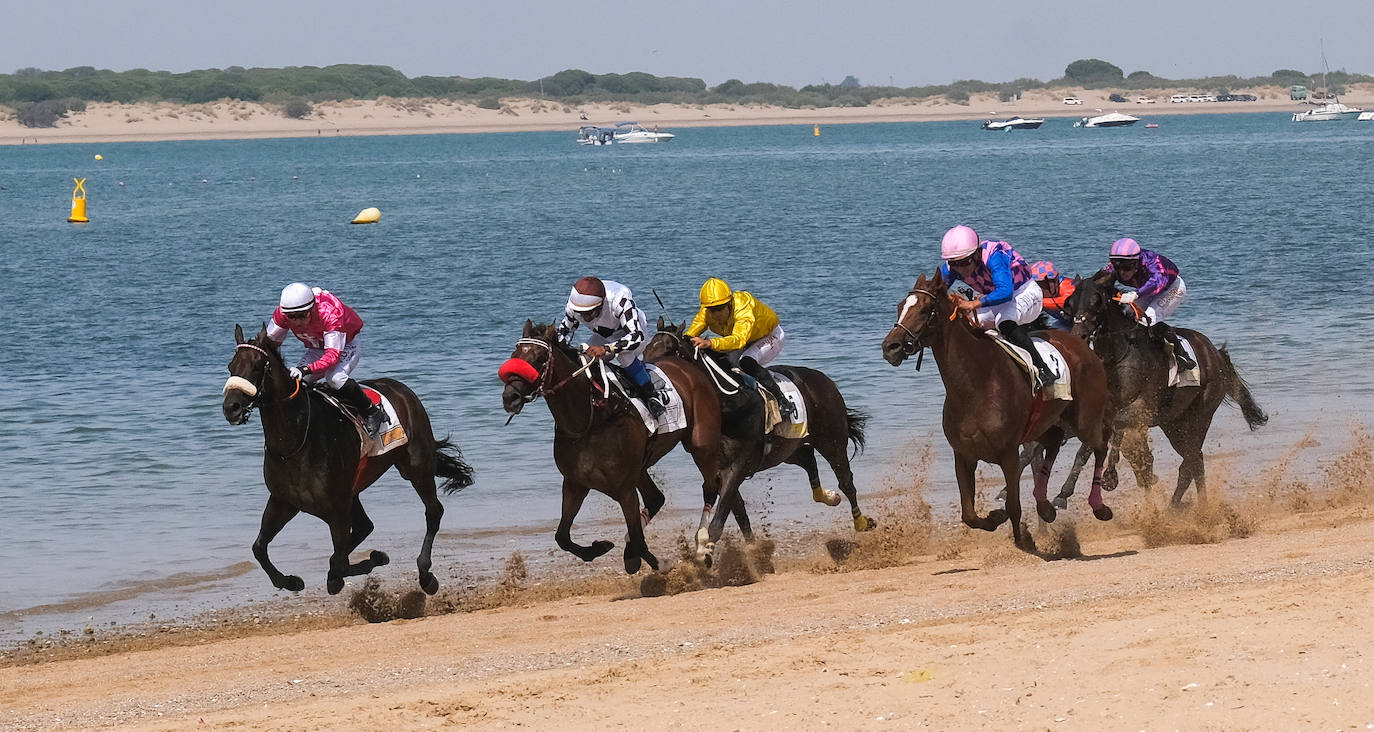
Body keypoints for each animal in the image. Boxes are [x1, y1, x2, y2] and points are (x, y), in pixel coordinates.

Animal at [220, 324, 473, 595]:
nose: (231, 408)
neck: (297, 441)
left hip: (416, 467)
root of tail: (402, 388)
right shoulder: (283, 501)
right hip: (355, 489)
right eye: (231, 366)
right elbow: (259, 548)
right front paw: (291, 581)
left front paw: (373, 560)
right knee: (365, 526)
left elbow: (339, 565)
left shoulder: (337, 509)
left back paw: (426, 575)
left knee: (433, 512)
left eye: (258, 366)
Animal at [499, 321, 729, 574]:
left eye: (540, 358)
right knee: (656, 498)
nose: (510, 396)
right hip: (641, 466)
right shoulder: (575, 484)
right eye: (515, 355)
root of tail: (688, 367)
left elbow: (638, 540)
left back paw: (702, 548)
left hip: (700, 442)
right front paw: (600, 547)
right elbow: (562, 536)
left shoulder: (624, 490)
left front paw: (661, 562)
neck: (589, 419)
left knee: (711, 486)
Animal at [644, 319, 876, 561]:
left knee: (846, 480)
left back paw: (861, 522)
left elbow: (720, 519)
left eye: (668, 350)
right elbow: (739, 513)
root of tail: (824, 379)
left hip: (831, 440)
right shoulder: (718, 470)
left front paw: (706, 553)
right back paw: (829, 496)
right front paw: (752, 552)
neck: (727, 406)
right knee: (808, 458)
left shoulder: (737, 466)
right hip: (787, 448)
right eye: (646, 348)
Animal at [880, 271, 1115, 549]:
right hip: (1051, 421)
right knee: (1054, 444)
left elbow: (1014, 505)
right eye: (900, 307)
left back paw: (1099, 507)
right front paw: (994, 517)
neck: (977, 383)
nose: (890, 347)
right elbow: (969, 514)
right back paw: (1045, 506)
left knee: (1099, 446)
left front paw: (1024, 541)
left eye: (926, 309)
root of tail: (1082, 345)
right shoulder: (963, 455)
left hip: (1084, 419)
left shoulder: (1008, 453)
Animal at [1060, 273, 1268, 506]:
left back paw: (1182, 507)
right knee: (1195, 459)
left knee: (1190, 460)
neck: (1119, 356)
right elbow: (1086, 447)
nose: (1078, 335)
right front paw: (1063, 492)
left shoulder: (1142, 408)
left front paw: (1111, 476)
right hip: (1173, 423)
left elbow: (1118, 426)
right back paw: (1190, 506)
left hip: (1202, 414)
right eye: (1070, 303)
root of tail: (1215, 354)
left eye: (1096, 300)